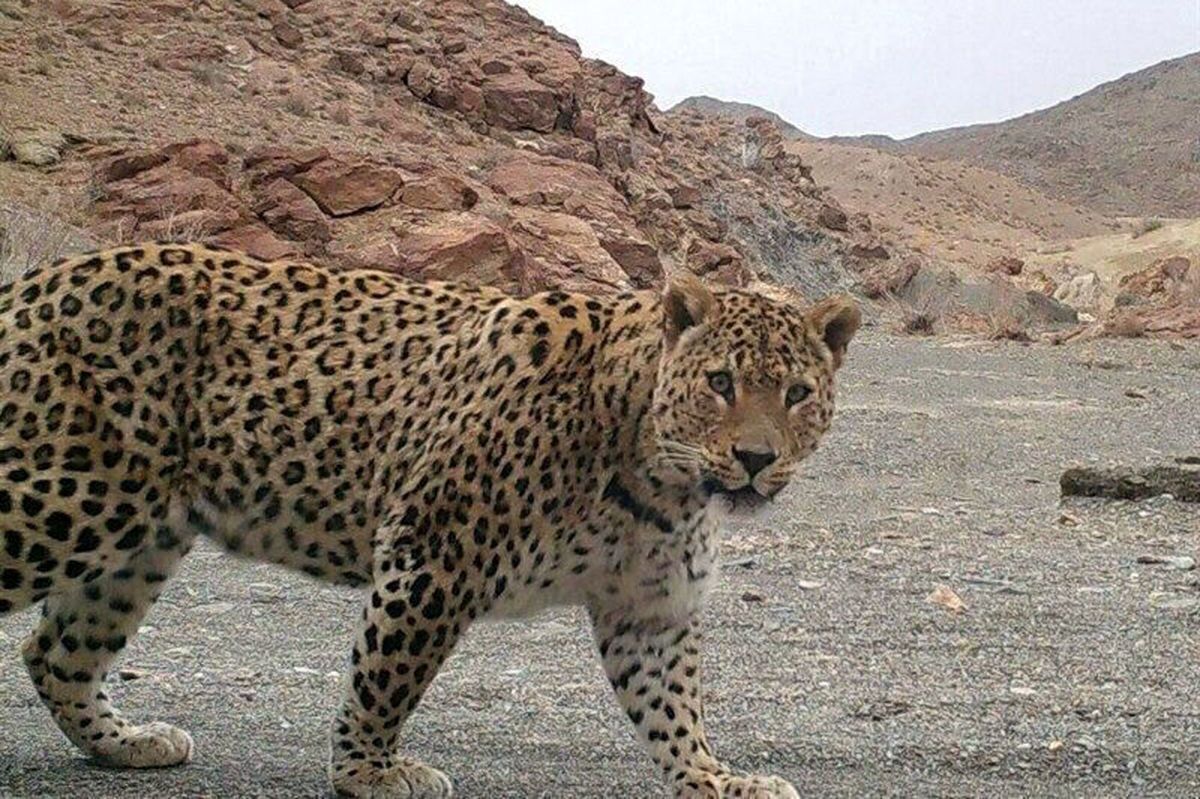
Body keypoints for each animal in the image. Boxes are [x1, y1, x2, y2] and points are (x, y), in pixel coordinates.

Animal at [2, 239, 864, 791]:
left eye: (796, 393)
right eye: (720, 382)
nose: (754, 458)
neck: (656, 474)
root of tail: (34, 281)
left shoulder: (647, 604)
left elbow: (672, 703)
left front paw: (715, 777)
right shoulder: (434, 552)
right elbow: (386, 675)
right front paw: (368, 771)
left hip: (137, 537)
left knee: (57, 651)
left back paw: (125, 743)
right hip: (63, 498)